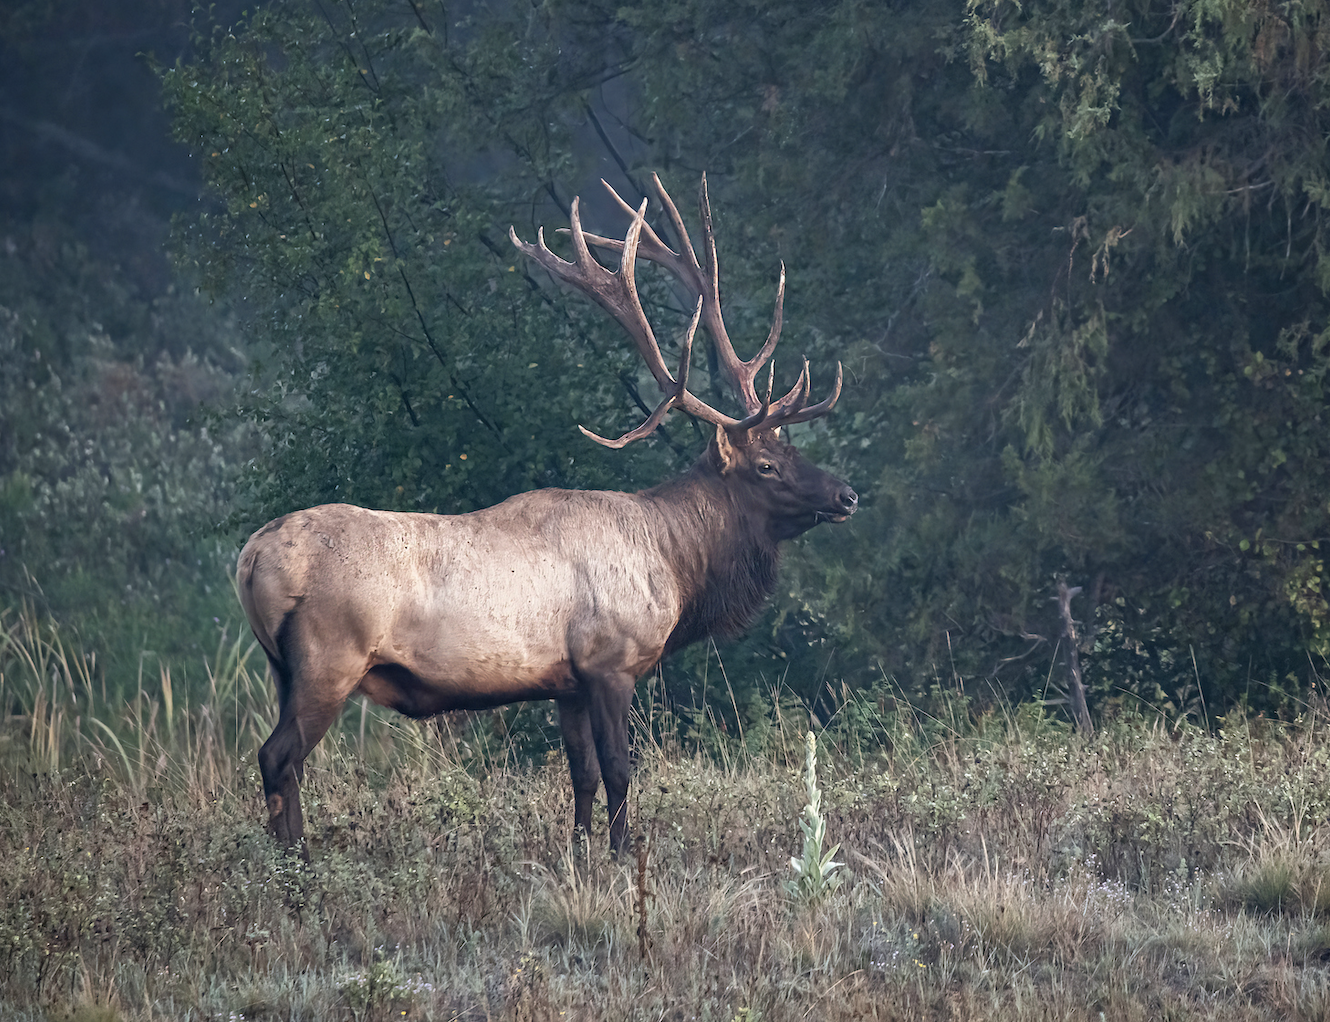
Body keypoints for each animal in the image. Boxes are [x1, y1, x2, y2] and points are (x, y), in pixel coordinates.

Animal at [237, 174, 857, 857]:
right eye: (767, 465)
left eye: (791, 448)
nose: (846, 495)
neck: (674, 566)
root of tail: (250, 558)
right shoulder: (611, 662)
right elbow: (618, 770)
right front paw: (620, 856)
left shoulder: (567, 683)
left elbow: (581, 774)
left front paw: (581, 854)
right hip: (330, 657)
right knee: (277, 757)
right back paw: (295, 865)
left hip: (283, 670)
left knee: (282, 761)